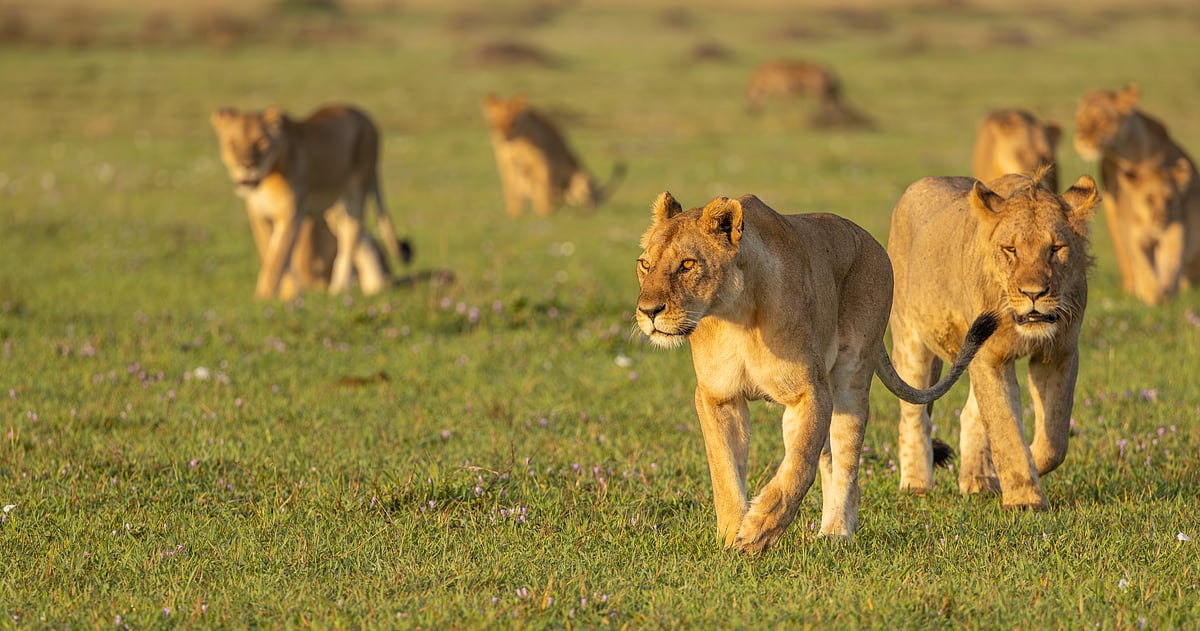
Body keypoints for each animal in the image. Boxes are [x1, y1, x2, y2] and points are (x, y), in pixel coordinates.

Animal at [210, 104, 411, 299]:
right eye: (232, 143)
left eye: (261, 142)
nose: (247, 165)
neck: (267, 178)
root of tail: (365, 116)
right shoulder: (258, 215)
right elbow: (271, 251)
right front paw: (292, 294)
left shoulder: (292, 213)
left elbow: (278, 257)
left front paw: (263, 298)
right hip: (334, 207)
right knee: (361, 238)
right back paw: (375, 286)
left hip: (356, 190)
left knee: (350, 236)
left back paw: (341, 288)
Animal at [481, 94, 625, 216]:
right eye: (494, 123)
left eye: (513, 122)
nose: (502, 138)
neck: (517, 142)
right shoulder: (506, 162)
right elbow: (510, 188)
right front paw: (514, 214)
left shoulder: (543, 161)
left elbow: (544, 188)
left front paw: (544, 213)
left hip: (581, 177)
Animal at [635, 192, 998, 552]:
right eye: (645, 264)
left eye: (687, 265)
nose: (648, 311)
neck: (734, 317)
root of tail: (872, 242)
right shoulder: (717, 397)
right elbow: (724, 469)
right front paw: (731, 535)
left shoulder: (812, 391)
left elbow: (799, 466)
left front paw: (759, 529)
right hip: (793, 414)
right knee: (827, 462)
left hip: (851, 381)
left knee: (846, 465)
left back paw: (836, 531)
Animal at [887, 171, 1099, 510]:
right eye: (1011, 250)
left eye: (1055, 248)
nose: (1033, 293)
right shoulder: (989, 356)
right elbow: (1005, 429)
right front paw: (1025, 499)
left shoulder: (1058, 353)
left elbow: (1054, 439)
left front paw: (1023, 470)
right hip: (911, 339)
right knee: (913, 416)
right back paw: (916, 485)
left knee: (971, 415)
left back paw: (980, 481)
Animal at [1072, 84, 1200, 303]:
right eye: (1079, 119)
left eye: (1101, 120)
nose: (1080, 139)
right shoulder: (1122, 220)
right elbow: (1138, 260)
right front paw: (1149, 292)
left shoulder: (1175, 227)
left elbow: (1170, 261)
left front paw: (1163, 292)